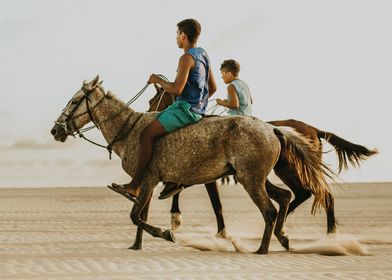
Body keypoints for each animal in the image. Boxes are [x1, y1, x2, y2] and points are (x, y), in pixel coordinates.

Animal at [51, 76, 334, 254]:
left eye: (75, 101)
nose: (56, 130)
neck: (129, 129)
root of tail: (273, 129)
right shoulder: (149, 183)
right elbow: (140, 215)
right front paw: (137, 245)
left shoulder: (148, 179)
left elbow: (135, 215)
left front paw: (166, 233)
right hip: (256, 177)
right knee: (285, 197)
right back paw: (282, 237)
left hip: (251, 180)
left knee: (270, 210)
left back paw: (262, 249)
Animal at [149, 85, 378, 236]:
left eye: (153, 100)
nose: (150, 111)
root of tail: (313, 129)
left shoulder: (207, 175)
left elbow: (214, 203)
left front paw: (179, 218)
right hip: (288, 171)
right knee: (306, 193)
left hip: (292, 170)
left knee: (318, 194)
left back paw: (327, 234)